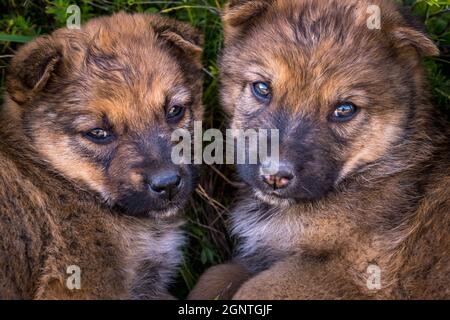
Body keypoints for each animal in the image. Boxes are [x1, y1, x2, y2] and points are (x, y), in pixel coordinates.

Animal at [190, 0, 450, 300]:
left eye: (345, 109)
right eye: (262, 88)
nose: (274, 176)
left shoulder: (357, 271)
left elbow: (251, 288)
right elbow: (214, 275)